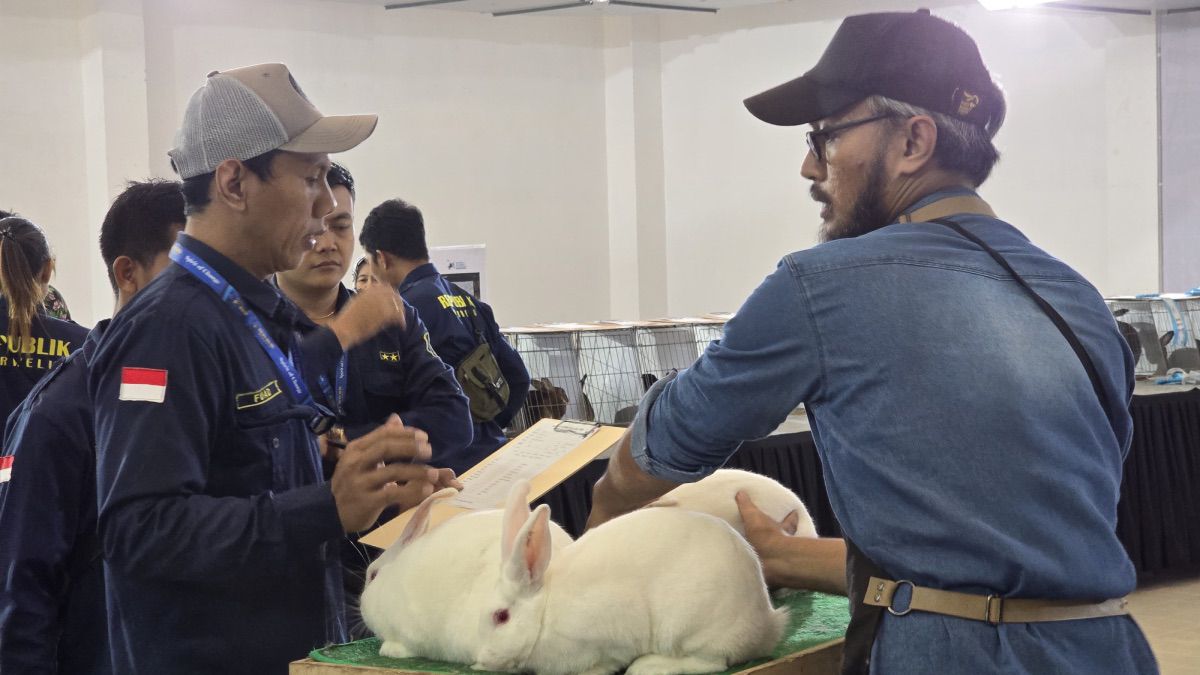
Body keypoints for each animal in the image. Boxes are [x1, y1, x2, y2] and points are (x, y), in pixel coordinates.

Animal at [468, 494, 787, 672]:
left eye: (501, 617)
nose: (481, 660)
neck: (545, 614)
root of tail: (767, 625)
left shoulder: (605, 641)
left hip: (692, 629)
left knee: (711, 662)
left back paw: (647, 667)